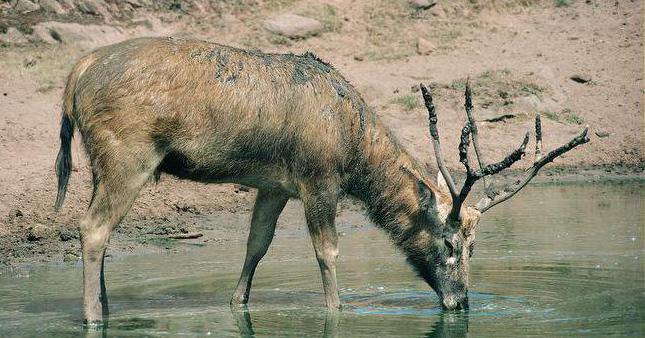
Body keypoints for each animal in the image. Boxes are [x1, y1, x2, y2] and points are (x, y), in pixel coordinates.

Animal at [54, 36, 588, 324]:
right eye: (450, 243)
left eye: (476, 247)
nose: (462, 301)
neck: (354, 148)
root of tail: (76, 73)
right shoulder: (319, 179)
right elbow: (327, 252)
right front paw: (336, 311)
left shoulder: (273, 185)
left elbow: (257, 244)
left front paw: (237, 303)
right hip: (129, 154)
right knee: (92, 228)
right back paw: (93, 316)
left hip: (101, 161)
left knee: (98, 229)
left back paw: (106, 306)